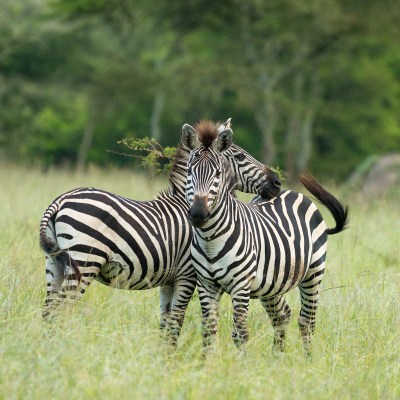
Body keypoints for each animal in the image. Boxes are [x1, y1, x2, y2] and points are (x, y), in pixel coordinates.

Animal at [39, 119, 280, 344]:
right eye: (240, 156)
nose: (277, 182)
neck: (187, 202)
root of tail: (60, 200)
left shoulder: (168, 280)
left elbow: (165, 323)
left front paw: (163, 356)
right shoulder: (187, 275)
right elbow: (176, 322)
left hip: (55, 264)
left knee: (49, 312)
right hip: (84, 261)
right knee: (61, 310)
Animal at [180, 122, 348, 354]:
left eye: (218, 173)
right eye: (189, 171)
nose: (197, 213)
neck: (210, 239)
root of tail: (291, 192)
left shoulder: (240, 286)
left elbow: (240, 334)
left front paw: (239, 364)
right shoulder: (206, 285)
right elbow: (208, 332)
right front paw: (207, 363)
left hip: (313, 274)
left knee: (307, 322)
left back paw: (308, 360)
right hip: (272, 285)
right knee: (281, 316)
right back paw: (278, 358)